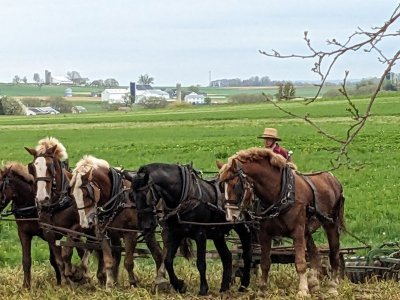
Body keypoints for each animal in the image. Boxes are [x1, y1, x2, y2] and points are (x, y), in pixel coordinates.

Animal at [69, 155, 168, 288]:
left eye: (87, 194)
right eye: (73, 195)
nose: (85, 223)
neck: (115, 197)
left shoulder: (130, 233)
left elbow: (128, 262)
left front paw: (133, 284)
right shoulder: (103, 233)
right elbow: (109, 261)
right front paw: (110, 285)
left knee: (161, 252)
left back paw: (161, 279)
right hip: (144, 229)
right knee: (156, 253)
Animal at [131, 163, 253, 294]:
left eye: (147, 196)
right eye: (132, 196)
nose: (145, 225)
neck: (185, 197)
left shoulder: (200, 234)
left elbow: (201, 263)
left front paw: (203, 289)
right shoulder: (175, 233)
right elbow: (168, 261)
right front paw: (179, 285)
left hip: (242, 226)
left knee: (247, 253)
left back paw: (244, 285)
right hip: (218, 234)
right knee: (227, 256)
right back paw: (224, 287)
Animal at [217, 146, 346, 296]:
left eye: (236, 185)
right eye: (221, 187)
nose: (230, 216)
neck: (279, 193)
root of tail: (333, 179)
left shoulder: (297, 232)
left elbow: (300, 262)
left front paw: (302, 290)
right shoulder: (264, 234)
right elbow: (265, 262)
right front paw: (262, 289)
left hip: (330, 224)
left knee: (334, 253)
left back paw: (333, 286)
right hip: (307, 231)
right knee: (315, 254)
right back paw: (314, 283)